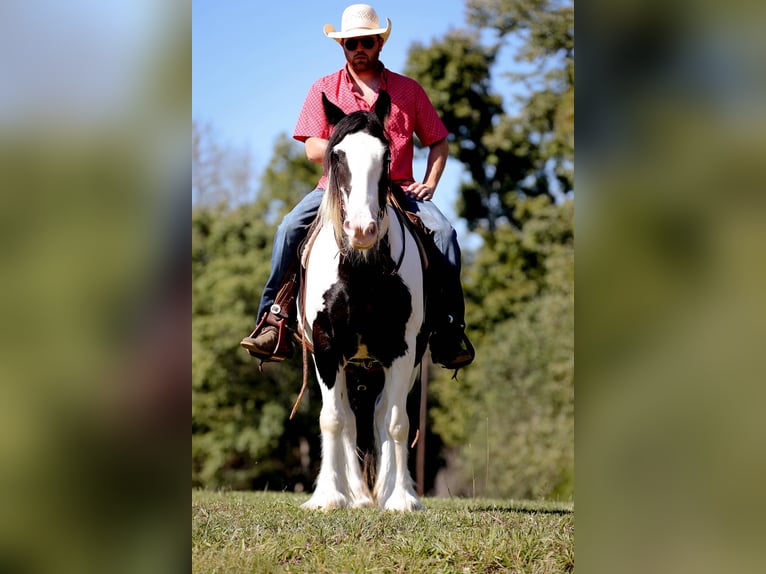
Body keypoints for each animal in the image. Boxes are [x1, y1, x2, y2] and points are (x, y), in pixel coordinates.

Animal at [300, 93, 428, 512]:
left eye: (385, 156)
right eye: (337, 155)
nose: (361, 230)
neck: (360, 270)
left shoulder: (403, 348)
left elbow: (396, 422)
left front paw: (400, 498)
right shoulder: (325, 345)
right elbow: (333, 419)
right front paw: (328, 496)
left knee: (381, 412)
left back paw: (384, 490)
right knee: (347, 416)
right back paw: (356, 494)